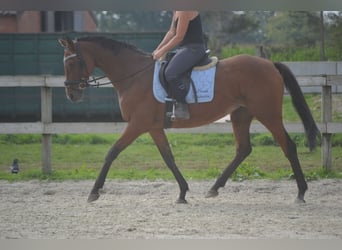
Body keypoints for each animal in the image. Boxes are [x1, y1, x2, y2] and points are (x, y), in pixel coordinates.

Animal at [57, 36, 320, 204]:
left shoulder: (137, 124)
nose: (71, 94)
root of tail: (269, 64)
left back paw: (301, 193)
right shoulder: (153, 127)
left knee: (288, 146)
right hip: (241, 115)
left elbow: (112, 152)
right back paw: (214, 188)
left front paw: (94, 191)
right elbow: (168, 157)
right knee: (243, 149)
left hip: (268, 114)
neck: (134, 75)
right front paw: (183, 193)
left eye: (72, 62)